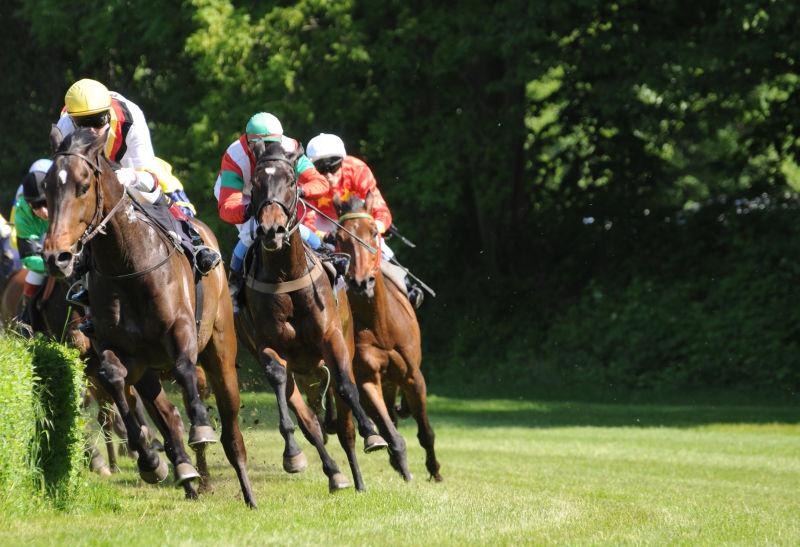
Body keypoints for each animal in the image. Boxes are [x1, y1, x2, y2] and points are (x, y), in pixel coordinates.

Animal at [42, 126, 255, 508]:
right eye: (48, 187)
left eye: (83, 184)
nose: (57, 257)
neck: (127, 263)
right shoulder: (116, 350)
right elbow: (114, 381)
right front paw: (150, 462)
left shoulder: (181, 331)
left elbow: (185, 370)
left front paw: (201, 426)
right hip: (148, 372)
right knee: (167, 416)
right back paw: (186, 474)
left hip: (220, 350)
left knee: (230, 428)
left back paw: (245, 490)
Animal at [236, 140, 386, 492]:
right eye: (257, 183)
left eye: (292, 181)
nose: (272, 230)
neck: (285, 276)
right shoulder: (266, 346)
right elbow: (280, 381)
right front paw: (292, 454)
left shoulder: (332, 338)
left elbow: (345, 385)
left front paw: (372, 433)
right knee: (311, 423)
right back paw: (334, 473)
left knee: (344, 427)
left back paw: (358, 478)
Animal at [332, 194, 444, 484]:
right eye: (338, 237)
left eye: (373, 233)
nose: (361, 282)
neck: (380, 326)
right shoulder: (367, 379)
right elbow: (391, 432)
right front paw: (402, 466)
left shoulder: (413, 376)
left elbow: (426, 432)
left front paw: (435, 471)